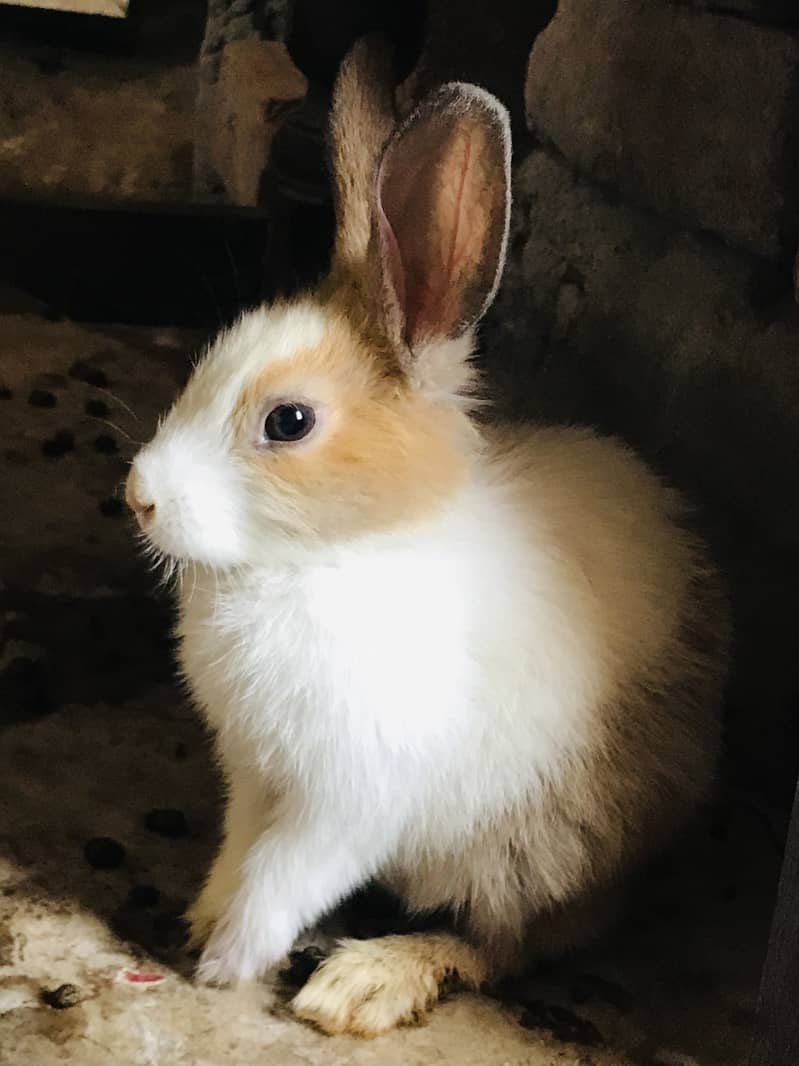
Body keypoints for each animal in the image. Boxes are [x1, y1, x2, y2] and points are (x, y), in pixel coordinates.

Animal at [125, 38, 730, 1038]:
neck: (327, 558)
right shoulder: (255, 776)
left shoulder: (347, 799)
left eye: (288, 422)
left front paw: (221, 964)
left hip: (530, 852)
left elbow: (280, 877)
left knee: (506, 943)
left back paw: (364, 981)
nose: (139, 496)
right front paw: (203, 920)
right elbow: (239, 853)